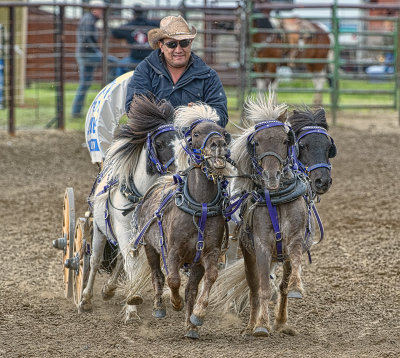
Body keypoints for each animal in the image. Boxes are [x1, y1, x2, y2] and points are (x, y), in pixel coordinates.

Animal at [131, 103, 231, 338]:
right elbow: (172, 279)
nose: (219, 145)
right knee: (157, 275)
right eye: (196, 134)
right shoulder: (172, 251)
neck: (200, 206)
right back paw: (159, 307)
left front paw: (197, 315)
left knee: (191, 289)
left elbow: (209, 278)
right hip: (150, 247)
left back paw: (191, 326)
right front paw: (174, 304)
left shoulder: (208, 253)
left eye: (222, 133)